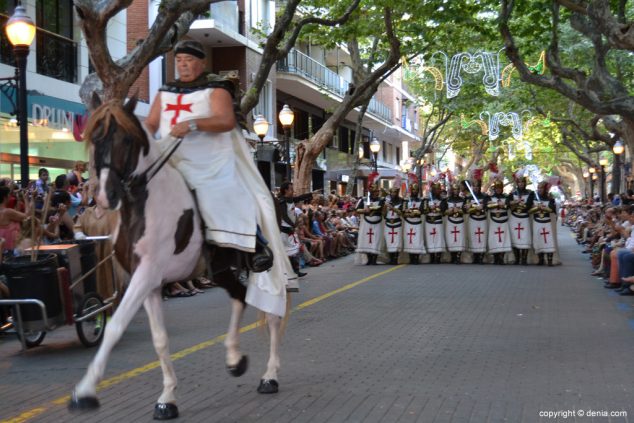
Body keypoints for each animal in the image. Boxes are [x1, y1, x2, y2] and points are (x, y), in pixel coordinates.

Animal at [68, 95, 286, 420]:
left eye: (127, 140)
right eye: (94, 138)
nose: (106, 195)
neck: (144, 206)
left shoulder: (146, 274)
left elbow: (115, 327)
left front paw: (84, 392)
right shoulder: (148, 281)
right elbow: (159, 339)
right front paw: (167, 398)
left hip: (264, 269)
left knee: (271, 315)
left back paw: (270, 376)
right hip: (220, 268)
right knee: (239, 296)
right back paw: (235, 360)